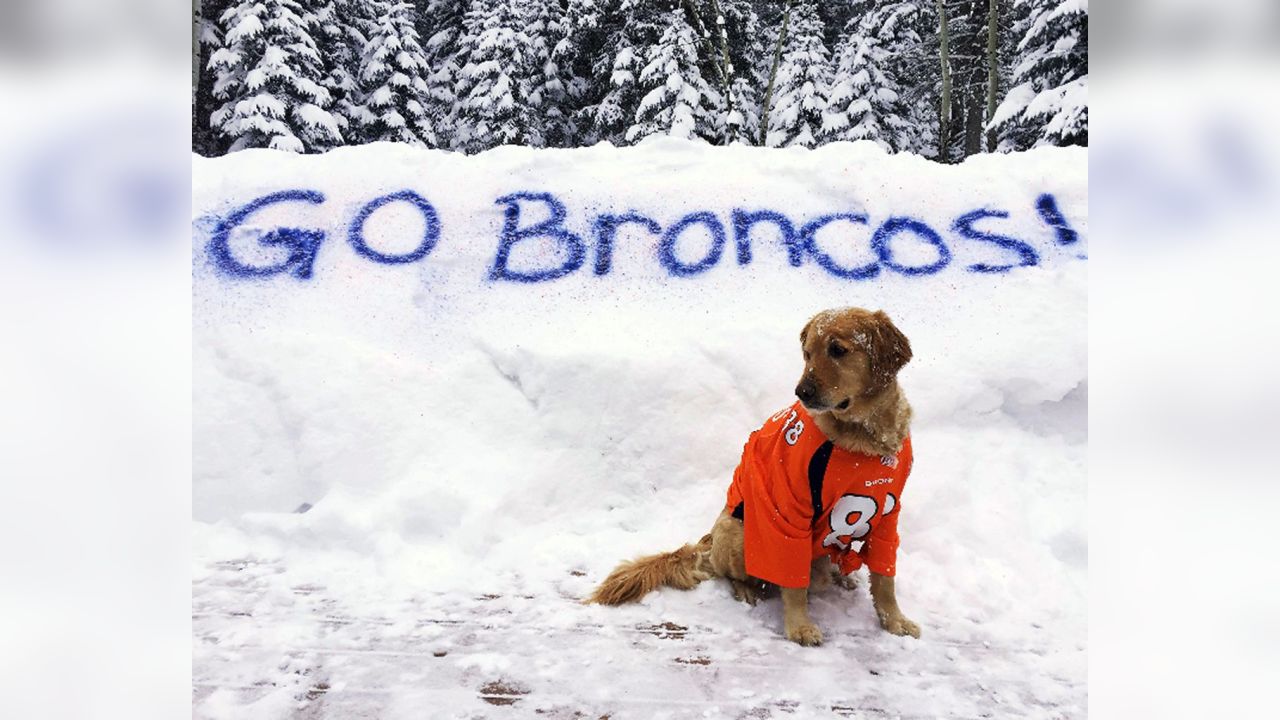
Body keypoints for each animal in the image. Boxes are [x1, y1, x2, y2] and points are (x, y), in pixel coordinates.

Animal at [588, 304, 921, 640]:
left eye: (838, 350)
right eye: (807, 353)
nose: (802, 391)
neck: (864, 439)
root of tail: (708, 541)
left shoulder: (888, 514)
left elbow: (884, 579)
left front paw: (894, 620)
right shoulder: (788, 513)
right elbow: (793, 580)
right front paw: (799, 626)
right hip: (737, 532)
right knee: (744, 576)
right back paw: (749, 589)